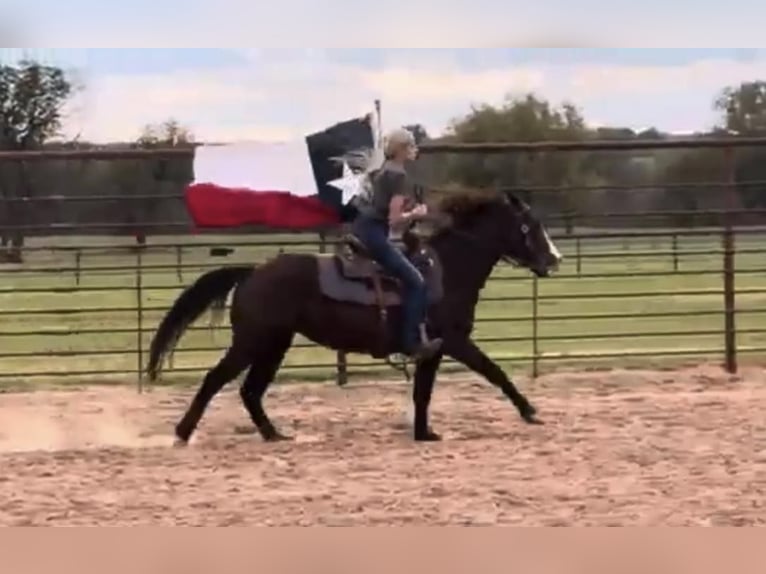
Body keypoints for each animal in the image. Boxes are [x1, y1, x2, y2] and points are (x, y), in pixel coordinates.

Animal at [147, 189, 564, 446]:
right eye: (529, 226)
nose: (555, 259)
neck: (447, 269)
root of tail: (252, 272)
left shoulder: (432, 349)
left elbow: (423, 393)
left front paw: (423, 433)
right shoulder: (455, 341)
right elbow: (495, 372)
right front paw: (530, 412)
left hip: (274, 344)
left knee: (251, 390)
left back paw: (273, 434)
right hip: (253, 342)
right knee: (216, 380)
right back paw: (183, 433)